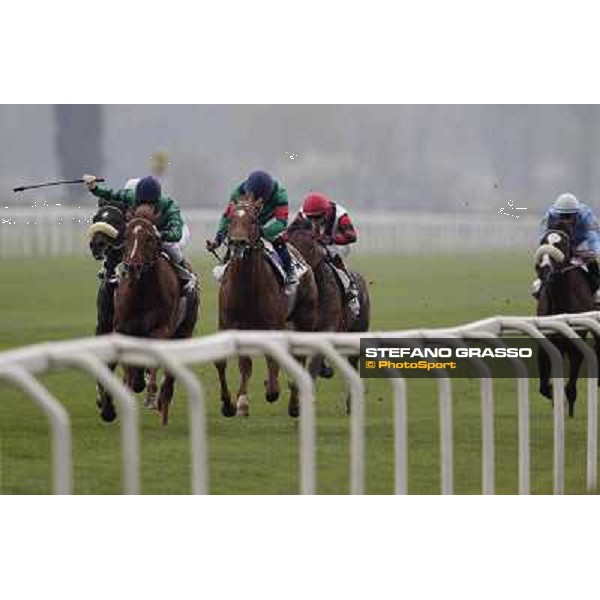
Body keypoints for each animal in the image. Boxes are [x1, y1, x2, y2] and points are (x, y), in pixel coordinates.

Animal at [116, 204, 200, 424]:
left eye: (149, 238)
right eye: (126, 235)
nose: (132, 267)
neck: (142, 293)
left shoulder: (160, 330)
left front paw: (152, 396)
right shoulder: (123, 330)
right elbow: (129, 369)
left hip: (183, 332)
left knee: (169, 380)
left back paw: (162, 406)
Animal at [216, 197, 318, 418]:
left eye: (253, 220)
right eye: (230, 218)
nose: (238, 242)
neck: (246, 289)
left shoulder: (273, 325)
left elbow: (273, 360)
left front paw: (272, 390)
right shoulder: (230, 324)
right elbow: (234, 364)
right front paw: (235, 403)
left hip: (304, 318)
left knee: (300, 357)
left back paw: (294, 404)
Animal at [536, 225, 596, 418]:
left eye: (561, 245)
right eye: (542, 242)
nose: (544, 269)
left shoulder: (576, 345)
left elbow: (570, 386)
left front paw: (568, 411)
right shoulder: (548, 342)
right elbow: (544, 387)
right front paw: (554, 397)